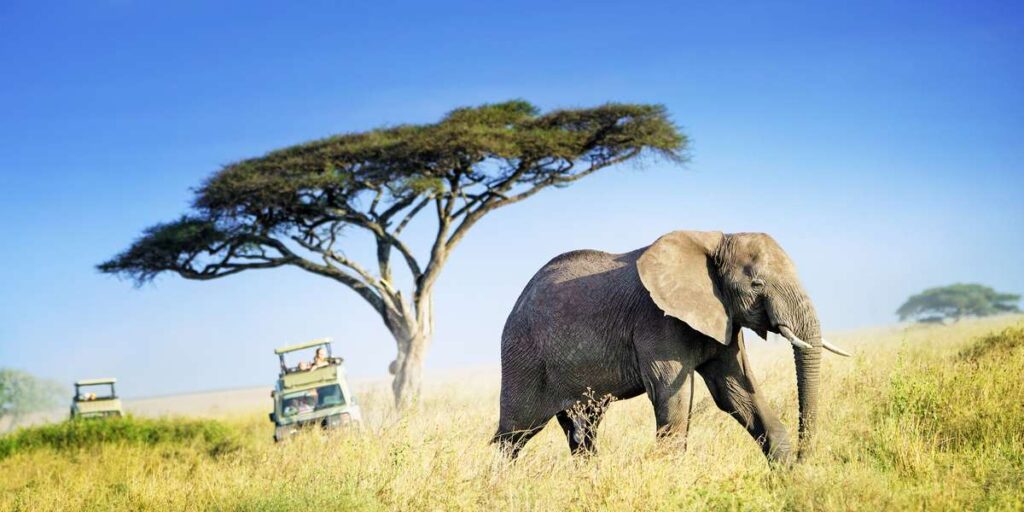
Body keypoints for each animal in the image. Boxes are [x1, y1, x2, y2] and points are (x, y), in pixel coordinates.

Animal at [489, 232, 847, 464]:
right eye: (756, 284)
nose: (805, 458)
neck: (715, 240)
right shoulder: (657, 322)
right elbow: (671, 397)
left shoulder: (723, 318)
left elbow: (736, 393)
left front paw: (789, 479)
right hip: (523, 356)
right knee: (515, 433)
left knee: (583, 433)